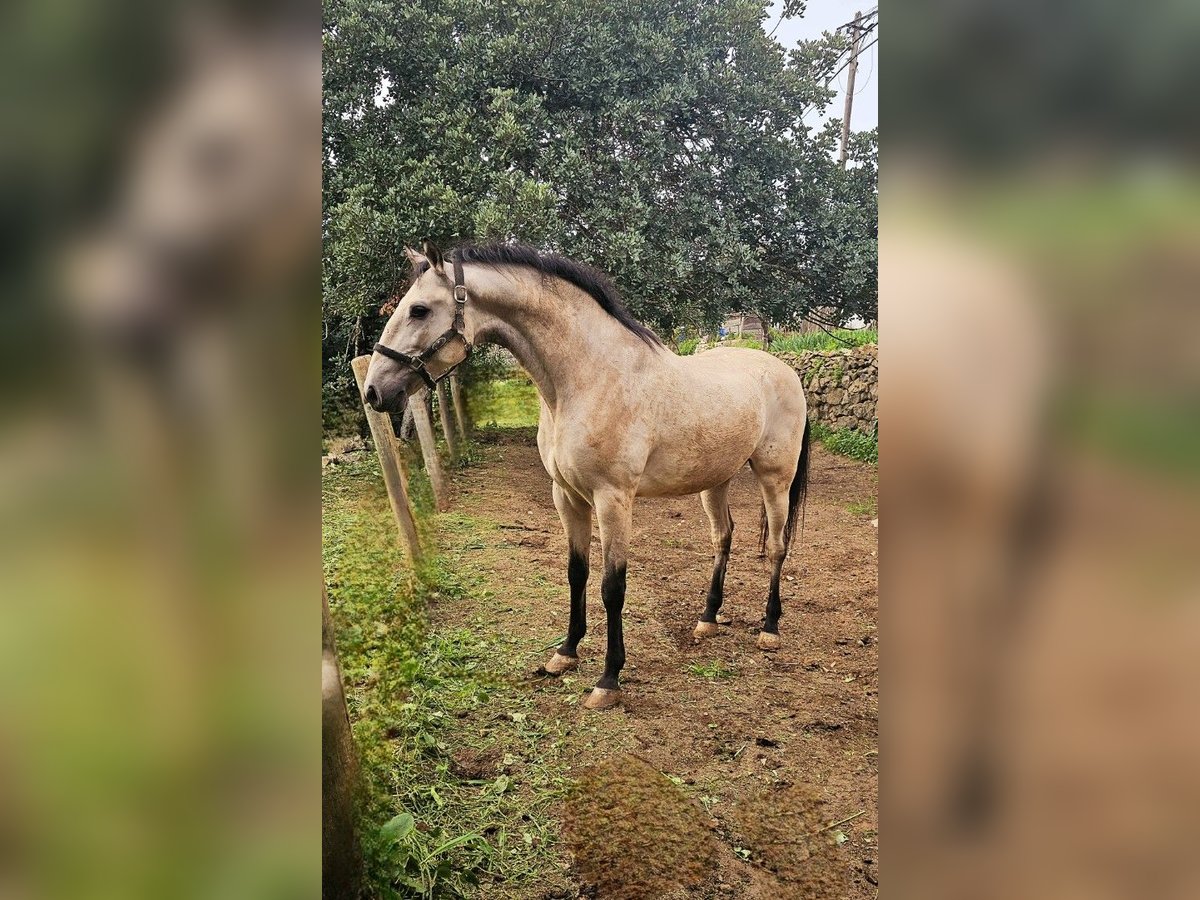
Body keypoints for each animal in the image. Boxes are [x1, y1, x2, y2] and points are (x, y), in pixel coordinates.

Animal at [360, 244, 811, 710]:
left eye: (419, 310)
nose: (373, 391)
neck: (588, 378)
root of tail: (784, 371)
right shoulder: (567, 495)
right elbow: (577, 572)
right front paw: (565, 652)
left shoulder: (613, 498)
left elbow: (613, 587)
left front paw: (608, 679)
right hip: (715, 480)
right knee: (723, 537)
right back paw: (707, 619)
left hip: (775, 477)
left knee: (777, 547)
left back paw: (769, 628)